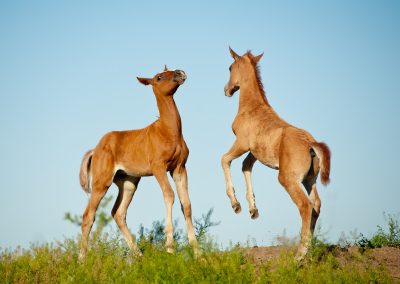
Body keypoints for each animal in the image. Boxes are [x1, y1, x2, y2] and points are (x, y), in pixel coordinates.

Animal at [77, 66, 198, 260]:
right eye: (159, 77)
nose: (180, 73)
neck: (169, 131)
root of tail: (95, 150)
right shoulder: (158, 167)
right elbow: (169, 195)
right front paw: (169, 248)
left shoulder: (179, 168)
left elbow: (186, 204)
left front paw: (199, 254)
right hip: (101, 182)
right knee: (89, 214)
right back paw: (82, 259)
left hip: (128, 183)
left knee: (118, 213)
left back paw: (139, 255)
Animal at [222, 47, 332, 260]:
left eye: (230, 67)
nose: (227, 90)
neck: (252, 106)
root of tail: (311, 144)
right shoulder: (255, 152)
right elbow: (245, 167)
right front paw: (253, 210)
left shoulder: (242, 143)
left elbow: (225, 160)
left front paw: (236, 205)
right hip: (309, 179)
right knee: (316, 205)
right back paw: (309, 252)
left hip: (287, 179)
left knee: (305, 206)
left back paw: (299, 255)